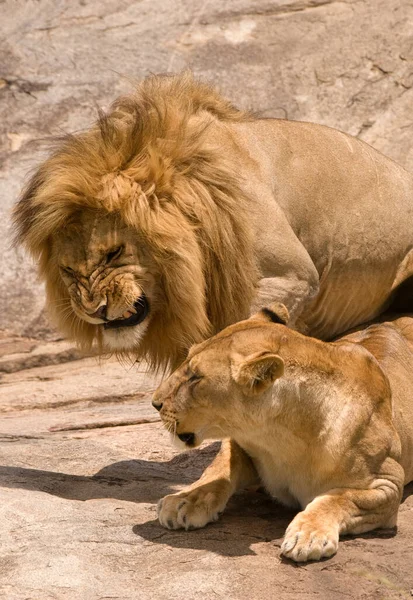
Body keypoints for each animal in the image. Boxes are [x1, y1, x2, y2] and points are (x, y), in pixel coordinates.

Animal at [153, 304, 412, 564]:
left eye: (196, 377)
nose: (155, 403)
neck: (279, 436)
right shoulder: (238, 444)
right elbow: (218, 472)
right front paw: (185, 499)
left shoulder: (388, 482)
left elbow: (340, 498)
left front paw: (308, 534)